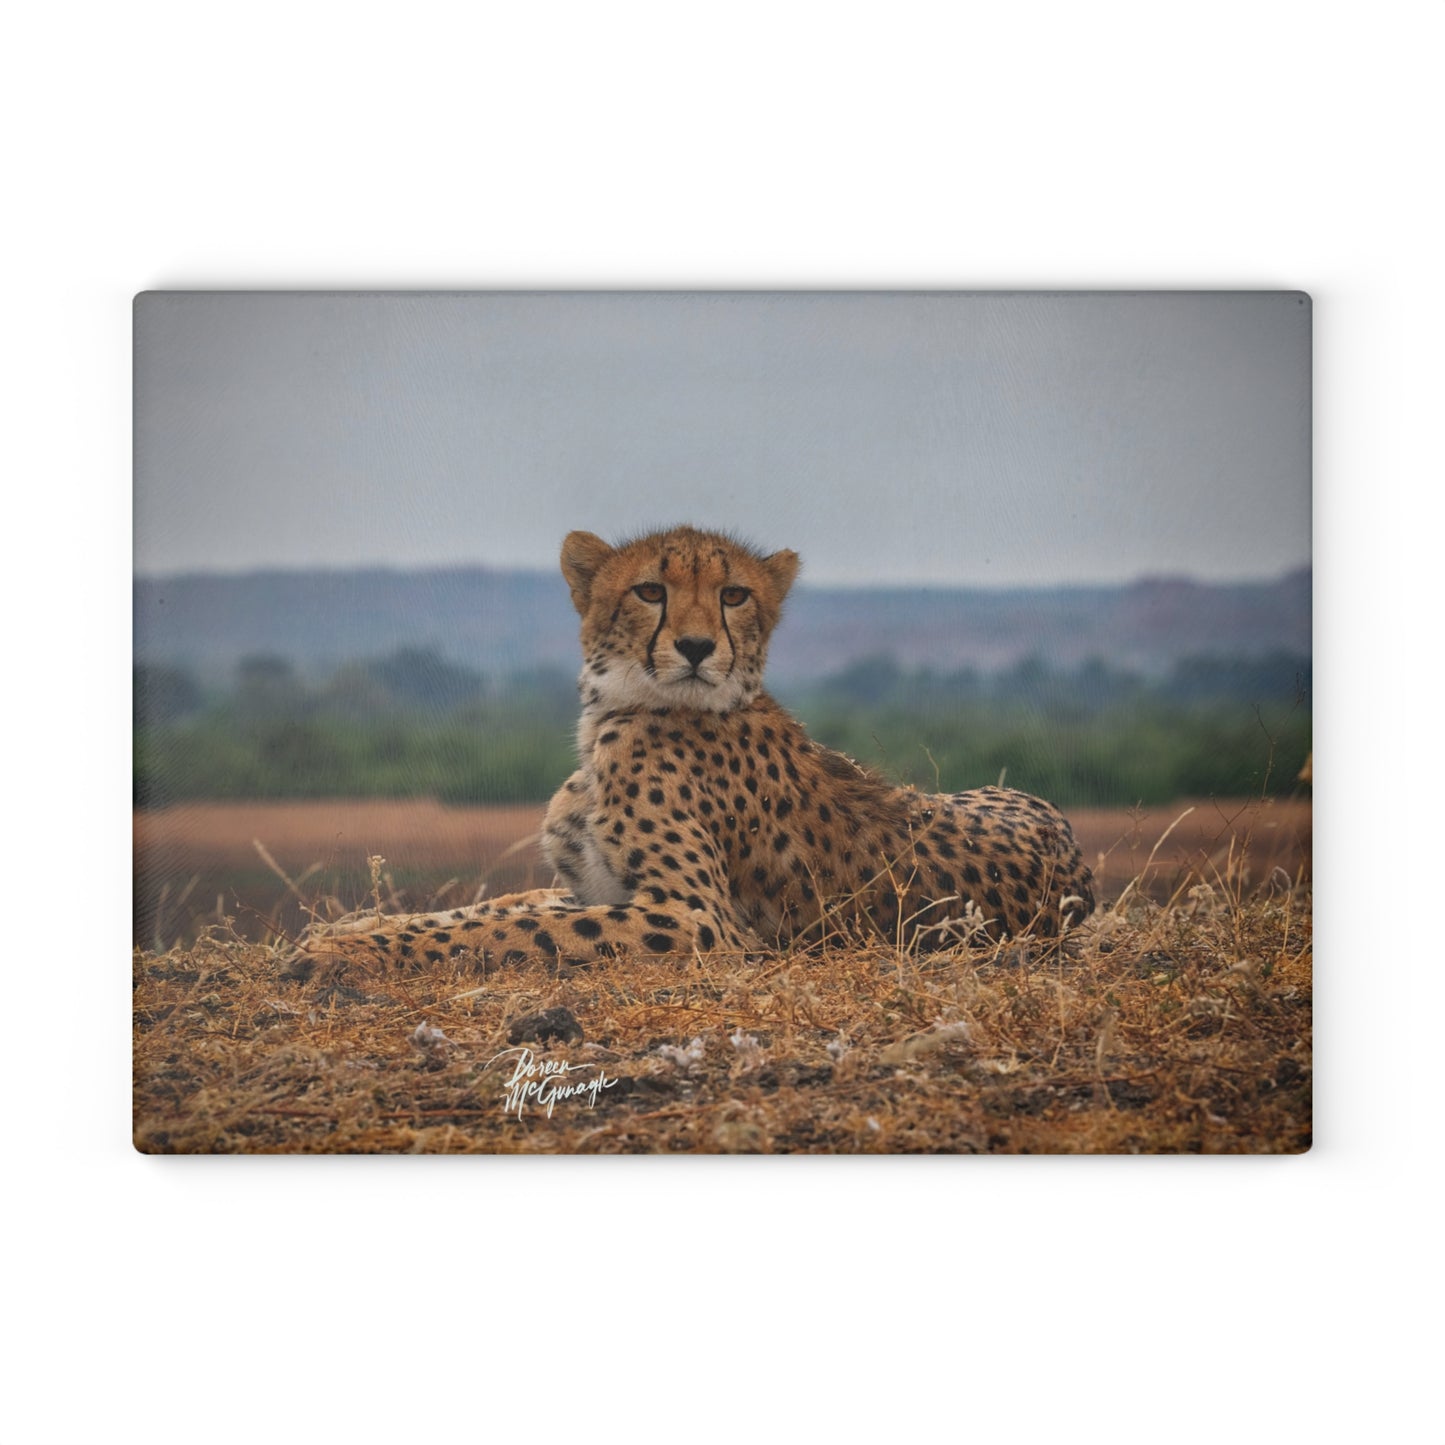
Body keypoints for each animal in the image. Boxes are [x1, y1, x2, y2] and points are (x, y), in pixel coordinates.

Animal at [302, 525, 1094, 974]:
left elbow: (523, 927)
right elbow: (492, 909)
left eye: (734, 595)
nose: (693, 646)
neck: (615, 714)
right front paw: (351, 929)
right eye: (649, 589)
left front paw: (346, 950)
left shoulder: (695, 918)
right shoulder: (591, 885)